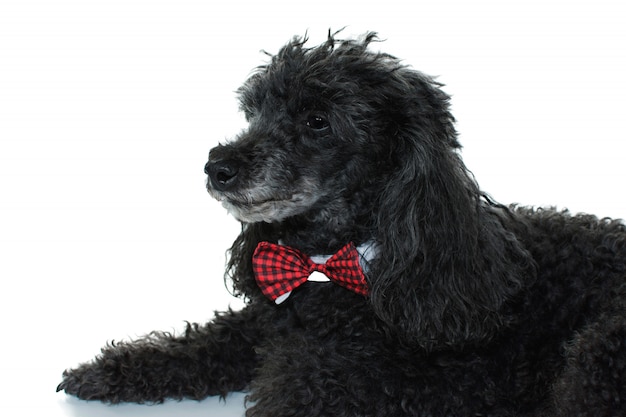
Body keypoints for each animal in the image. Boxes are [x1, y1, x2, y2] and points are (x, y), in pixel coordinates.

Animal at [58, 30, 624, 414]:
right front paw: (106, 371)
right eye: (255, 113)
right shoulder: (271, 321)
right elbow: (198, 346)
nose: (217, 167)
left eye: (317, 122)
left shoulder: (362, 381)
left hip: (593, 360)